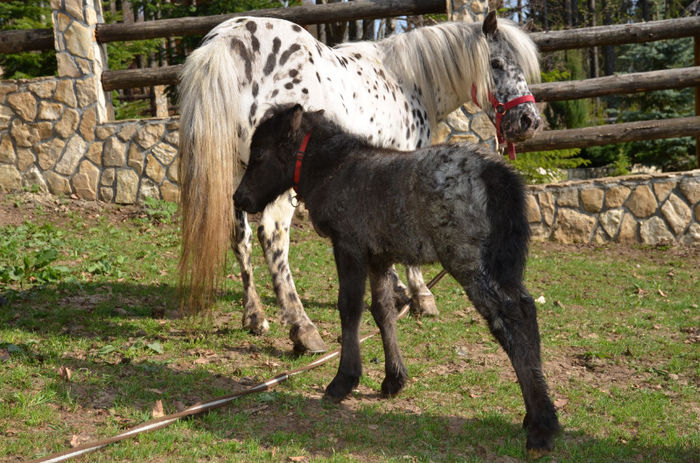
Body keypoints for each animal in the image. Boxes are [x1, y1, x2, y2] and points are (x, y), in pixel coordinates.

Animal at [179, 10, 540, 354]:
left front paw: (396, 290)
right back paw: (303, 328)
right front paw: (419, 294)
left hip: (240, 178)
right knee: (273, 236)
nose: (529, 120)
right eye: (496, 63)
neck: (407, 80)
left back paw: (255, 316)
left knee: (240, 237)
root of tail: (227, 41)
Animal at [232, 105, 560, 456]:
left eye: (260, 153)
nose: (239, 198)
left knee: (511, 319)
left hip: (469, 262)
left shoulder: (349, 245)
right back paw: (533, 415)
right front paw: (393, 379)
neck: (337, 168)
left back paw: (542, 427)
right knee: (526, 311)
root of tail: (499, 177)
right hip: (502, 265)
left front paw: (343, 382)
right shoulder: (379, 256)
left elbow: (350, 308)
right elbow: (383, 311)